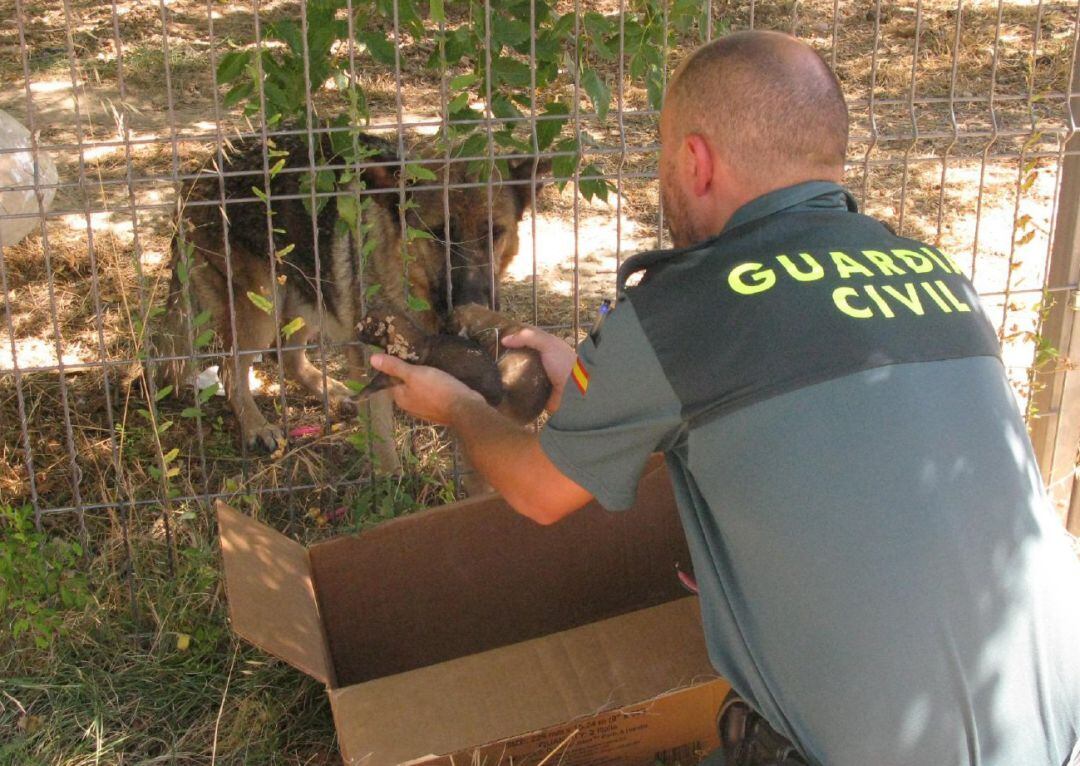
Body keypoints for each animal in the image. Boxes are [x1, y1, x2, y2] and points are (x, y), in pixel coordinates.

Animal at [154, 131, 548, 468]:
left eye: (494, 233)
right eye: (437, 235)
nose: (473, 302)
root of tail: (202, 171)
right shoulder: (372, 364)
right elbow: (383, 441)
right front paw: (393, 490)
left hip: (308, 294)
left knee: (287, 356)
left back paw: (329, 390)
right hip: (260, 307)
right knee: (231, 369)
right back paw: (256, 426)